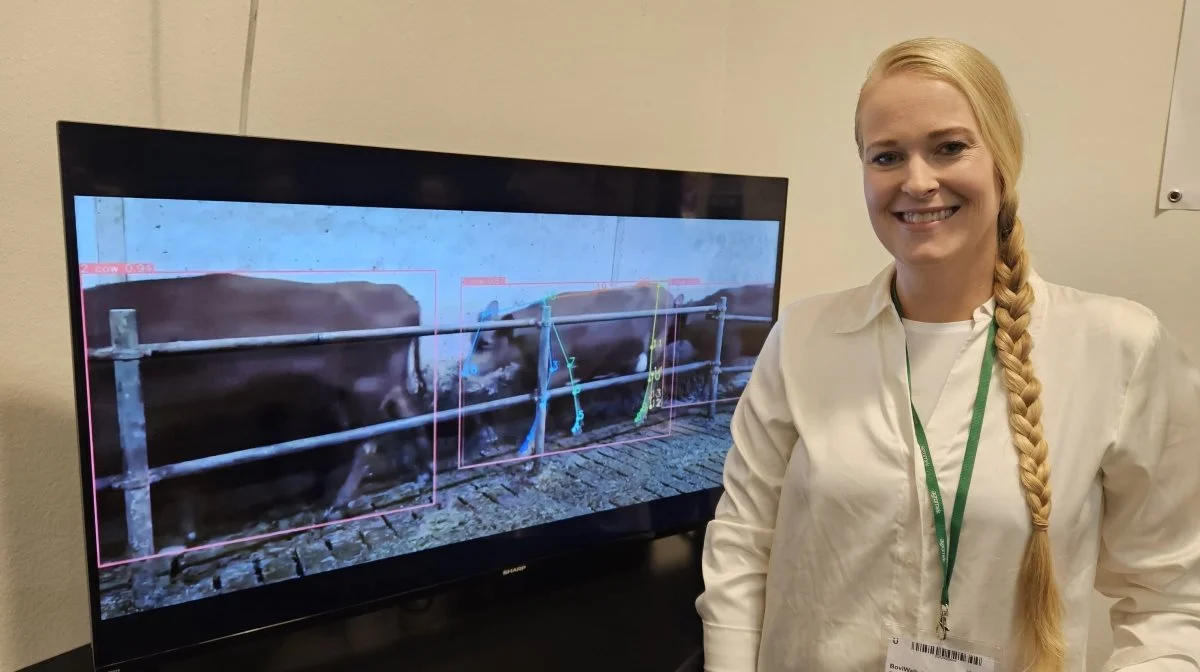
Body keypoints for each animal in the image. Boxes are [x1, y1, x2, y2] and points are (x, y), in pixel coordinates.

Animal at [84, 270, 432, 559]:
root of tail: (399, 292)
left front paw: (183, 534)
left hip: (365, 389)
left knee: (369, 440)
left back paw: (336, 505)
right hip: (380, 386)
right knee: (408, 413)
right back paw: (423, 472)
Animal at [463, 283, 676, 460]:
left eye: (485, 344)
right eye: (471, 339)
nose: (464, 372)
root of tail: (665, 291)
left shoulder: (558, 373)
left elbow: (542, 407)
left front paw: (525, 449)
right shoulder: (575, 368)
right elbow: (575, 392)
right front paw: (578, 426)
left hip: (656, 347)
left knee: (653, 377)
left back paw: (642, 414)